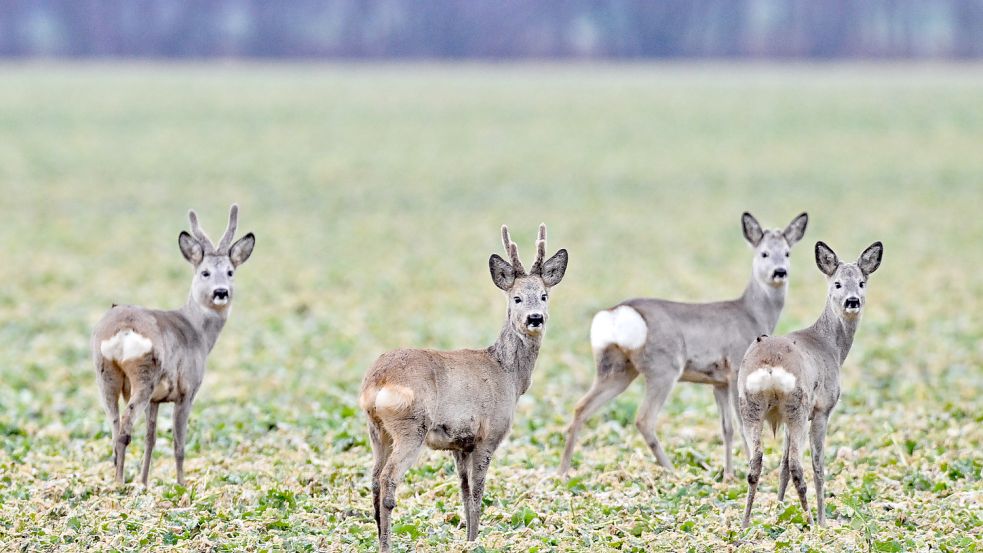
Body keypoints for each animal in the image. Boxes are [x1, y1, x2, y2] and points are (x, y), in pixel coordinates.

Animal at [90, 205, 256, 486]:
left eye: (230, 272)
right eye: (205, 272)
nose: (221, 292)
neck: (198, 332)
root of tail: (122, 330)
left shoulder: (157, 399)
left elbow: (151, 439)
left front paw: (144, 482)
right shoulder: (187, 390)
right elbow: (179, 443)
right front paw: (181, 485)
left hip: (105, 374)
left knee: (113, 426)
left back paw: (116, 479)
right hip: (144, 373)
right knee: (124, 428)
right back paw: (120, 483)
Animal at [364, 222, 572, 548]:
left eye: (543, 296)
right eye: (516, 298)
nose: (535, 318)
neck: (508, 375)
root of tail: (377, 380)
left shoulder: (461, 443)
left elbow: (463, 492)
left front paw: (468, 536)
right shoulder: (490, 433)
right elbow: (477, 492)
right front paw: (475, 541)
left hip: (377, 430)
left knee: (373, 478)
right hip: (411, 426)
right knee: (388, 478)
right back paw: (387, 544)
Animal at [560, 211, 808, 478]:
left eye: (787, 252)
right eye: (764, 253)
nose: (780, 272)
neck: (753, 315)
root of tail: (616, 314)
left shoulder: (718, 381)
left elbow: (726, 428)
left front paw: (728, 475)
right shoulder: (736, 368)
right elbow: (744, 426)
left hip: (617, 368)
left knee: (580, 408)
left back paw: (562, 472)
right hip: (663, 367)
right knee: (643, 419)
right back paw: (672, 472)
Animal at [740, 239, 888, 524]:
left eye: (862, 282)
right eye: (837, 283)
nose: (852, 301)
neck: (831, 346)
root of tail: (770, 366)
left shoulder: (785, 419)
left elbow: (782, 466)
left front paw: (778, 511)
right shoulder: (822, 409)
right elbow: (818, 465)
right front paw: (823, 519)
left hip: (751, 407)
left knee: (756, 463)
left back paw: (744, 524)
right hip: (797, 406)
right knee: (798, 466)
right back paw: (810, 522)